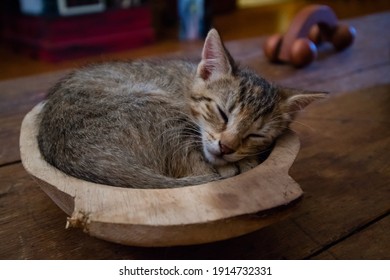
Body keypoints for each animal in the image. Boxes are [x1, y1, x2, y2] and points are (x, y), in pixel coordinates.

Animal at [37, 29, 326, 188]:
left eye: (256, 134)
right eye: (222, 113)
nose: (227, 147)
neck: (186, 84)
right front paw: (239, 163)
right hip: (161, 112)